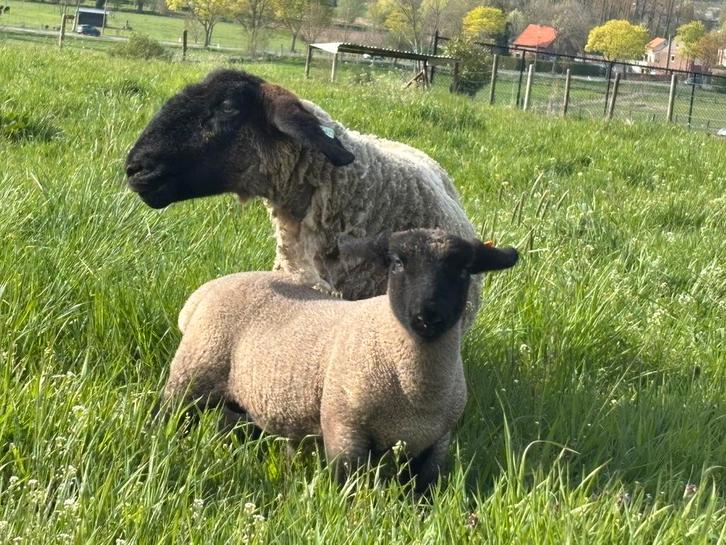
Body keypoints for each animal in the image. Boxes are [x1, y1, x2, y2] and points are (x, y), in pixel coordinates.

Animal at [163, 229, 519, 490]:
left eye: (463, 270)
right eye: (397, 263)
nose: (427, 315)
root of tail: (204, 293)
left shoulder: (436, 444)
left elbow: (423, 494)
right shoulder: (343, 430)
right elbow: (349, 487)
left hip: (243, 398)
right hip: (192, 374)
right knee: (168, 413)